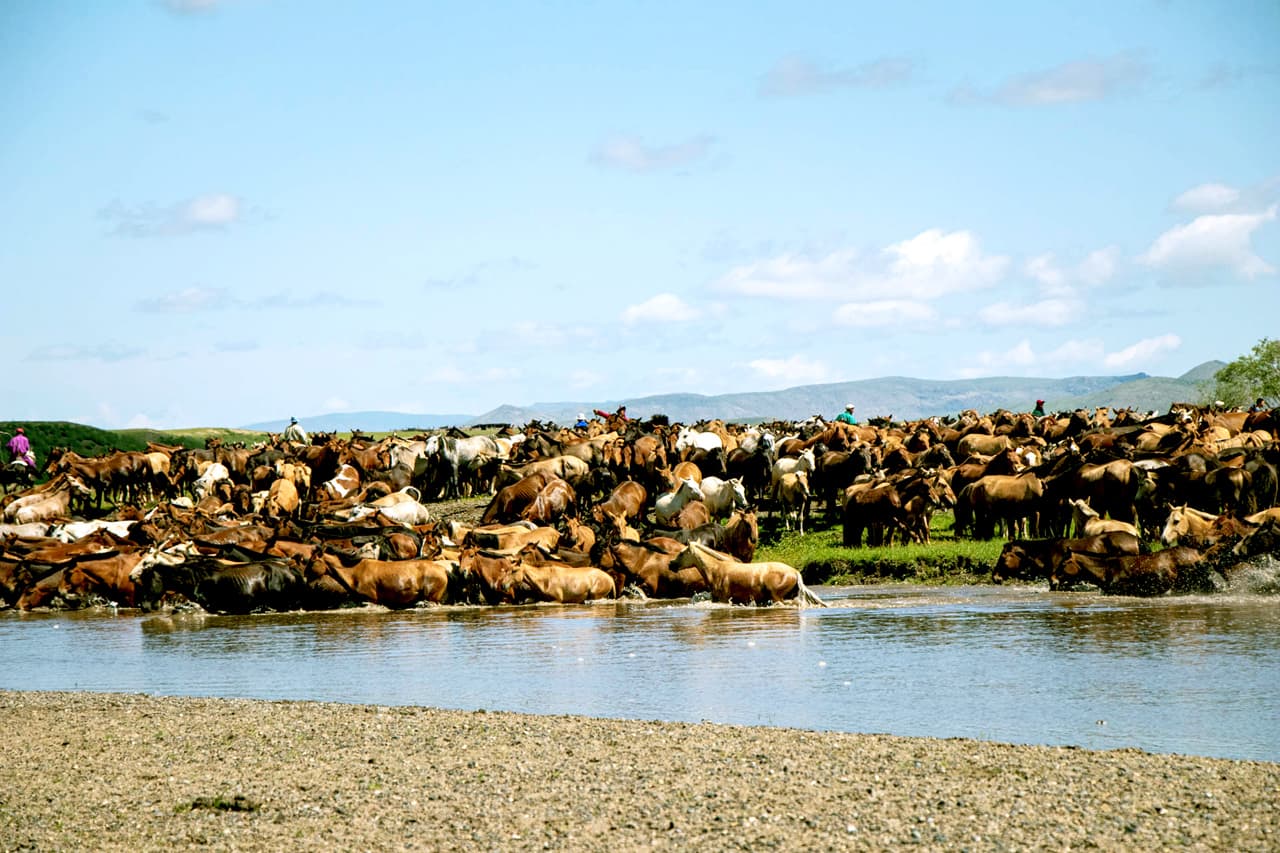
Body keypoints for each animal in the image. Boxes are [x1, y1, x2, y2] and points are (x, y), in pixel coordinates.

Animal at [669, 542, 825, 607]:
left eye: (681, 553)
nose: (671, 564)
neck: (716, 570)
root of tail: (795, 572)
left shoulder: (724, 600)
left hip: (776, 597)